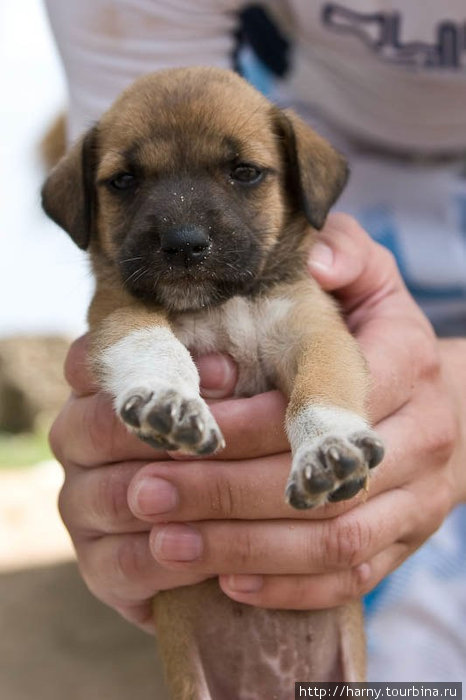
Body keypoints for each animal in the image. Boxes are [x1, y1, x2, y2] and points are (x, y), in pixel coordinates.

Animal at [41, 67, 384, 700]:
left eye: (243, 172)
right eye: (124, 180)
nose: (183, 242)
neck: (222, 304)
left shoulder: (315, 330)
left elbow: (319, 390)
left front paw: (328, 448)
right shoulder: (118, 314)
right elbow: (154, 346)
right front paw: (170, 402)